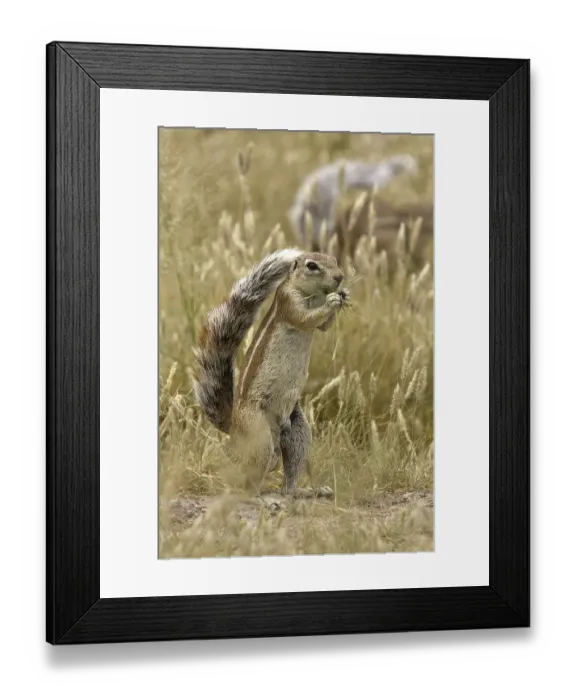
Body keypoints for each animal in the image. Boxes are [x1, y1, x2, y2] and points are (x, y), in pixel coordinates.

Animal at [192, 248, 349, 496]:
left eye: (333, 260)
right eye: (312, 266)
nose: (339, 277)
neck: (313, 294)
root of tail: (234, 426)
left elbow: (323, 326)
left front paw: (343, 295)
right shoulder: (288, 302)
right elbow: (305, 318)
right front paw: (332, 301)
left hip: (297, 428)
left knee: (288, 476)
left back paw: (306, 491)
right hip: (258, 431)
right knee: (249, 481)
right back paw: (260, 498)